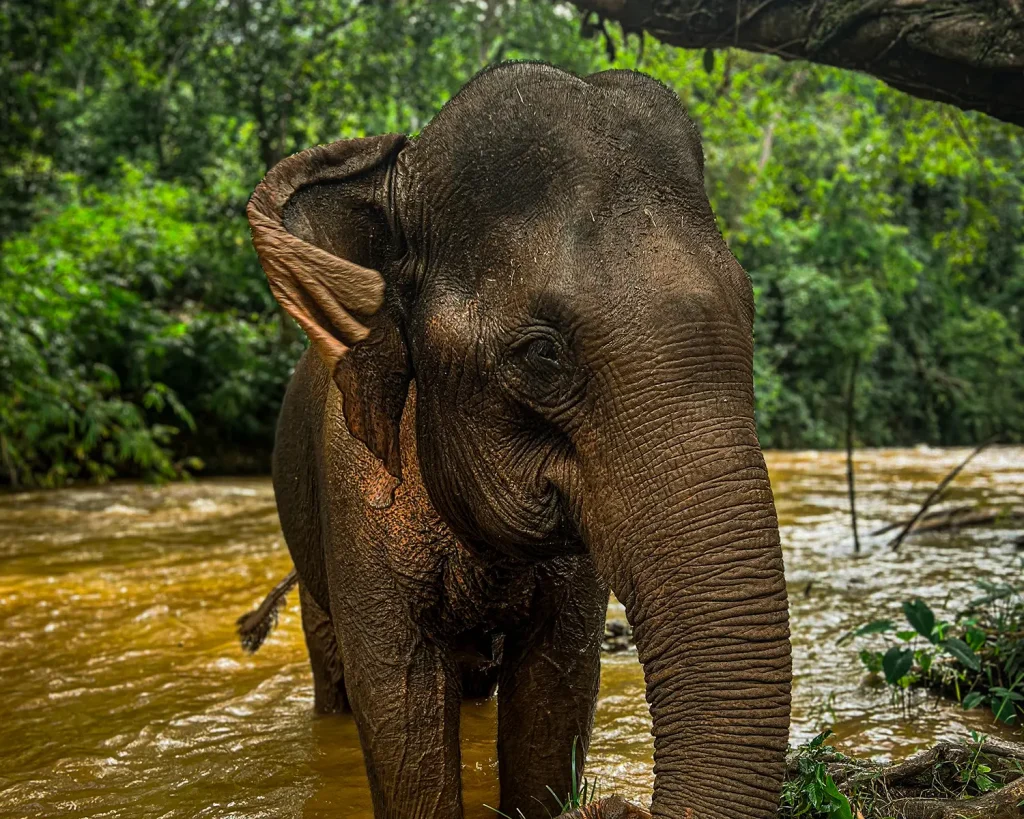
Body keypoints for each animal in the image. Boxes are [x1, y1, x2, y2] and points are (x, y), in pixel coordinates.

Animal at [241, 61, 792, 819]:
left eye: (749, 311)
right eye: (542, 354)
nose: (616, 806)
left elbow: (556, 690)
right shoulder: (354, 491)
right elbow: (399, 705)